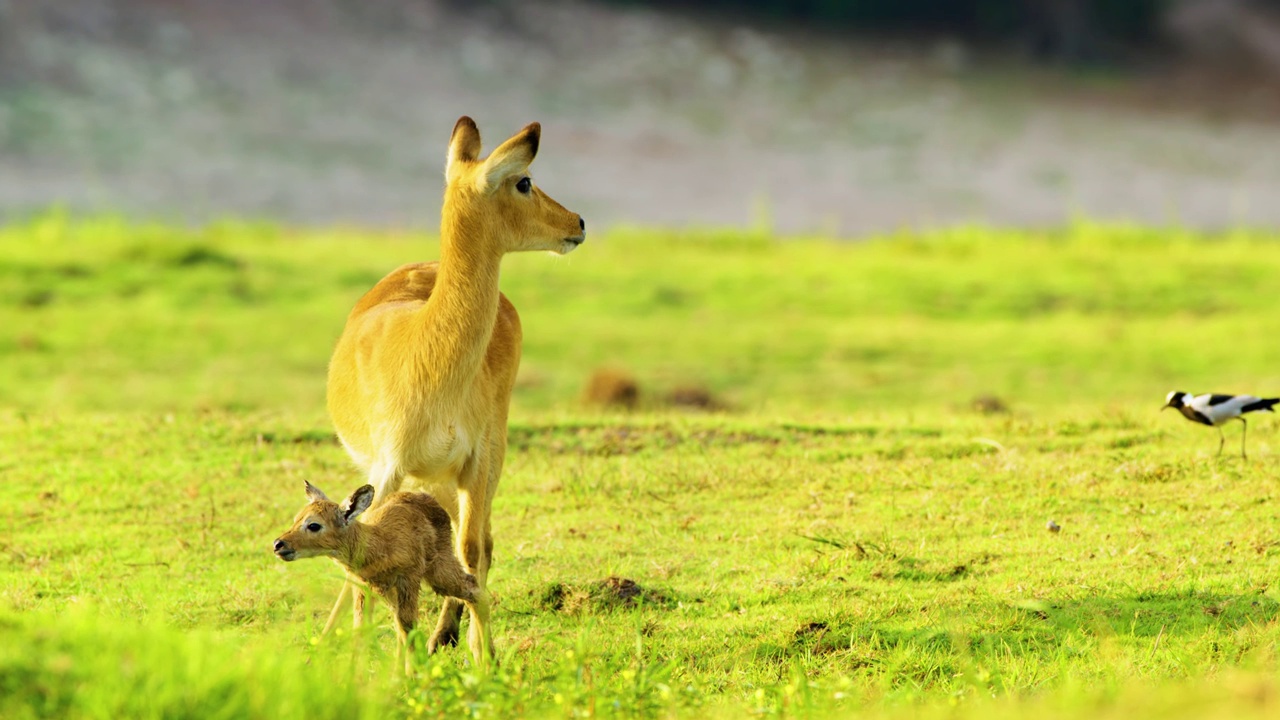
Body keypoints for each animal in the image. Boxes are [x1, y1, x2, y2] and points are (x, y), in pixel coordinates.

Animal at [275, 479, 488, 671]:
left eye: (314, 525)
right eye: (296, 519)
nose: (278, 544)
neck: (381, 546)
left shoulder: (408, 581)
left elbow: (408, 627)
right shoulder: (363, 589)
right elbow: (362, 629)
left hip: (439, 571)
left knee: (473, 589)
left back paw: (486, 663)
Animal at [325, 116, 586, 661]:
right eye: (524, 180)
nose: (577, 222)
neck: (427, 357)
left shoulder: (475, 460)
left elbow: (470, 550)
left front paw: (483, 654)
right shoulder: (388, 468)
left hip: (480, 463)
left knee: (477, 542)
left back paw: (449, 636)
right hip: (431, 476)